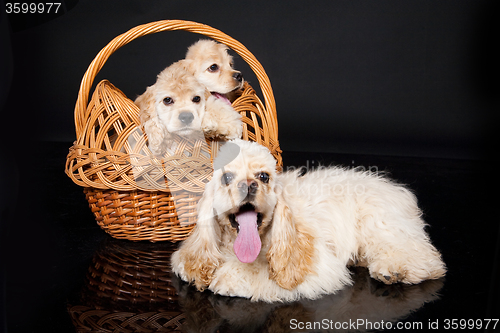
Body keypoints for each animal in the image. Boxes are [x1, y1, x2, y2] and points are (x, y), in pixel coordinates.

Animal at [171, 139, 446, 302]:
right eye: (227, 177)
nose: (249, 185)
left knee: (423, 256)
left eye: (264, 176)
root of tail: (396, 189)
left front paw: (230, 277)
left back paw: (396, 269)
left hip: (380, 224)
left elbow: (262, 273)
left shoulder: (318, 267)